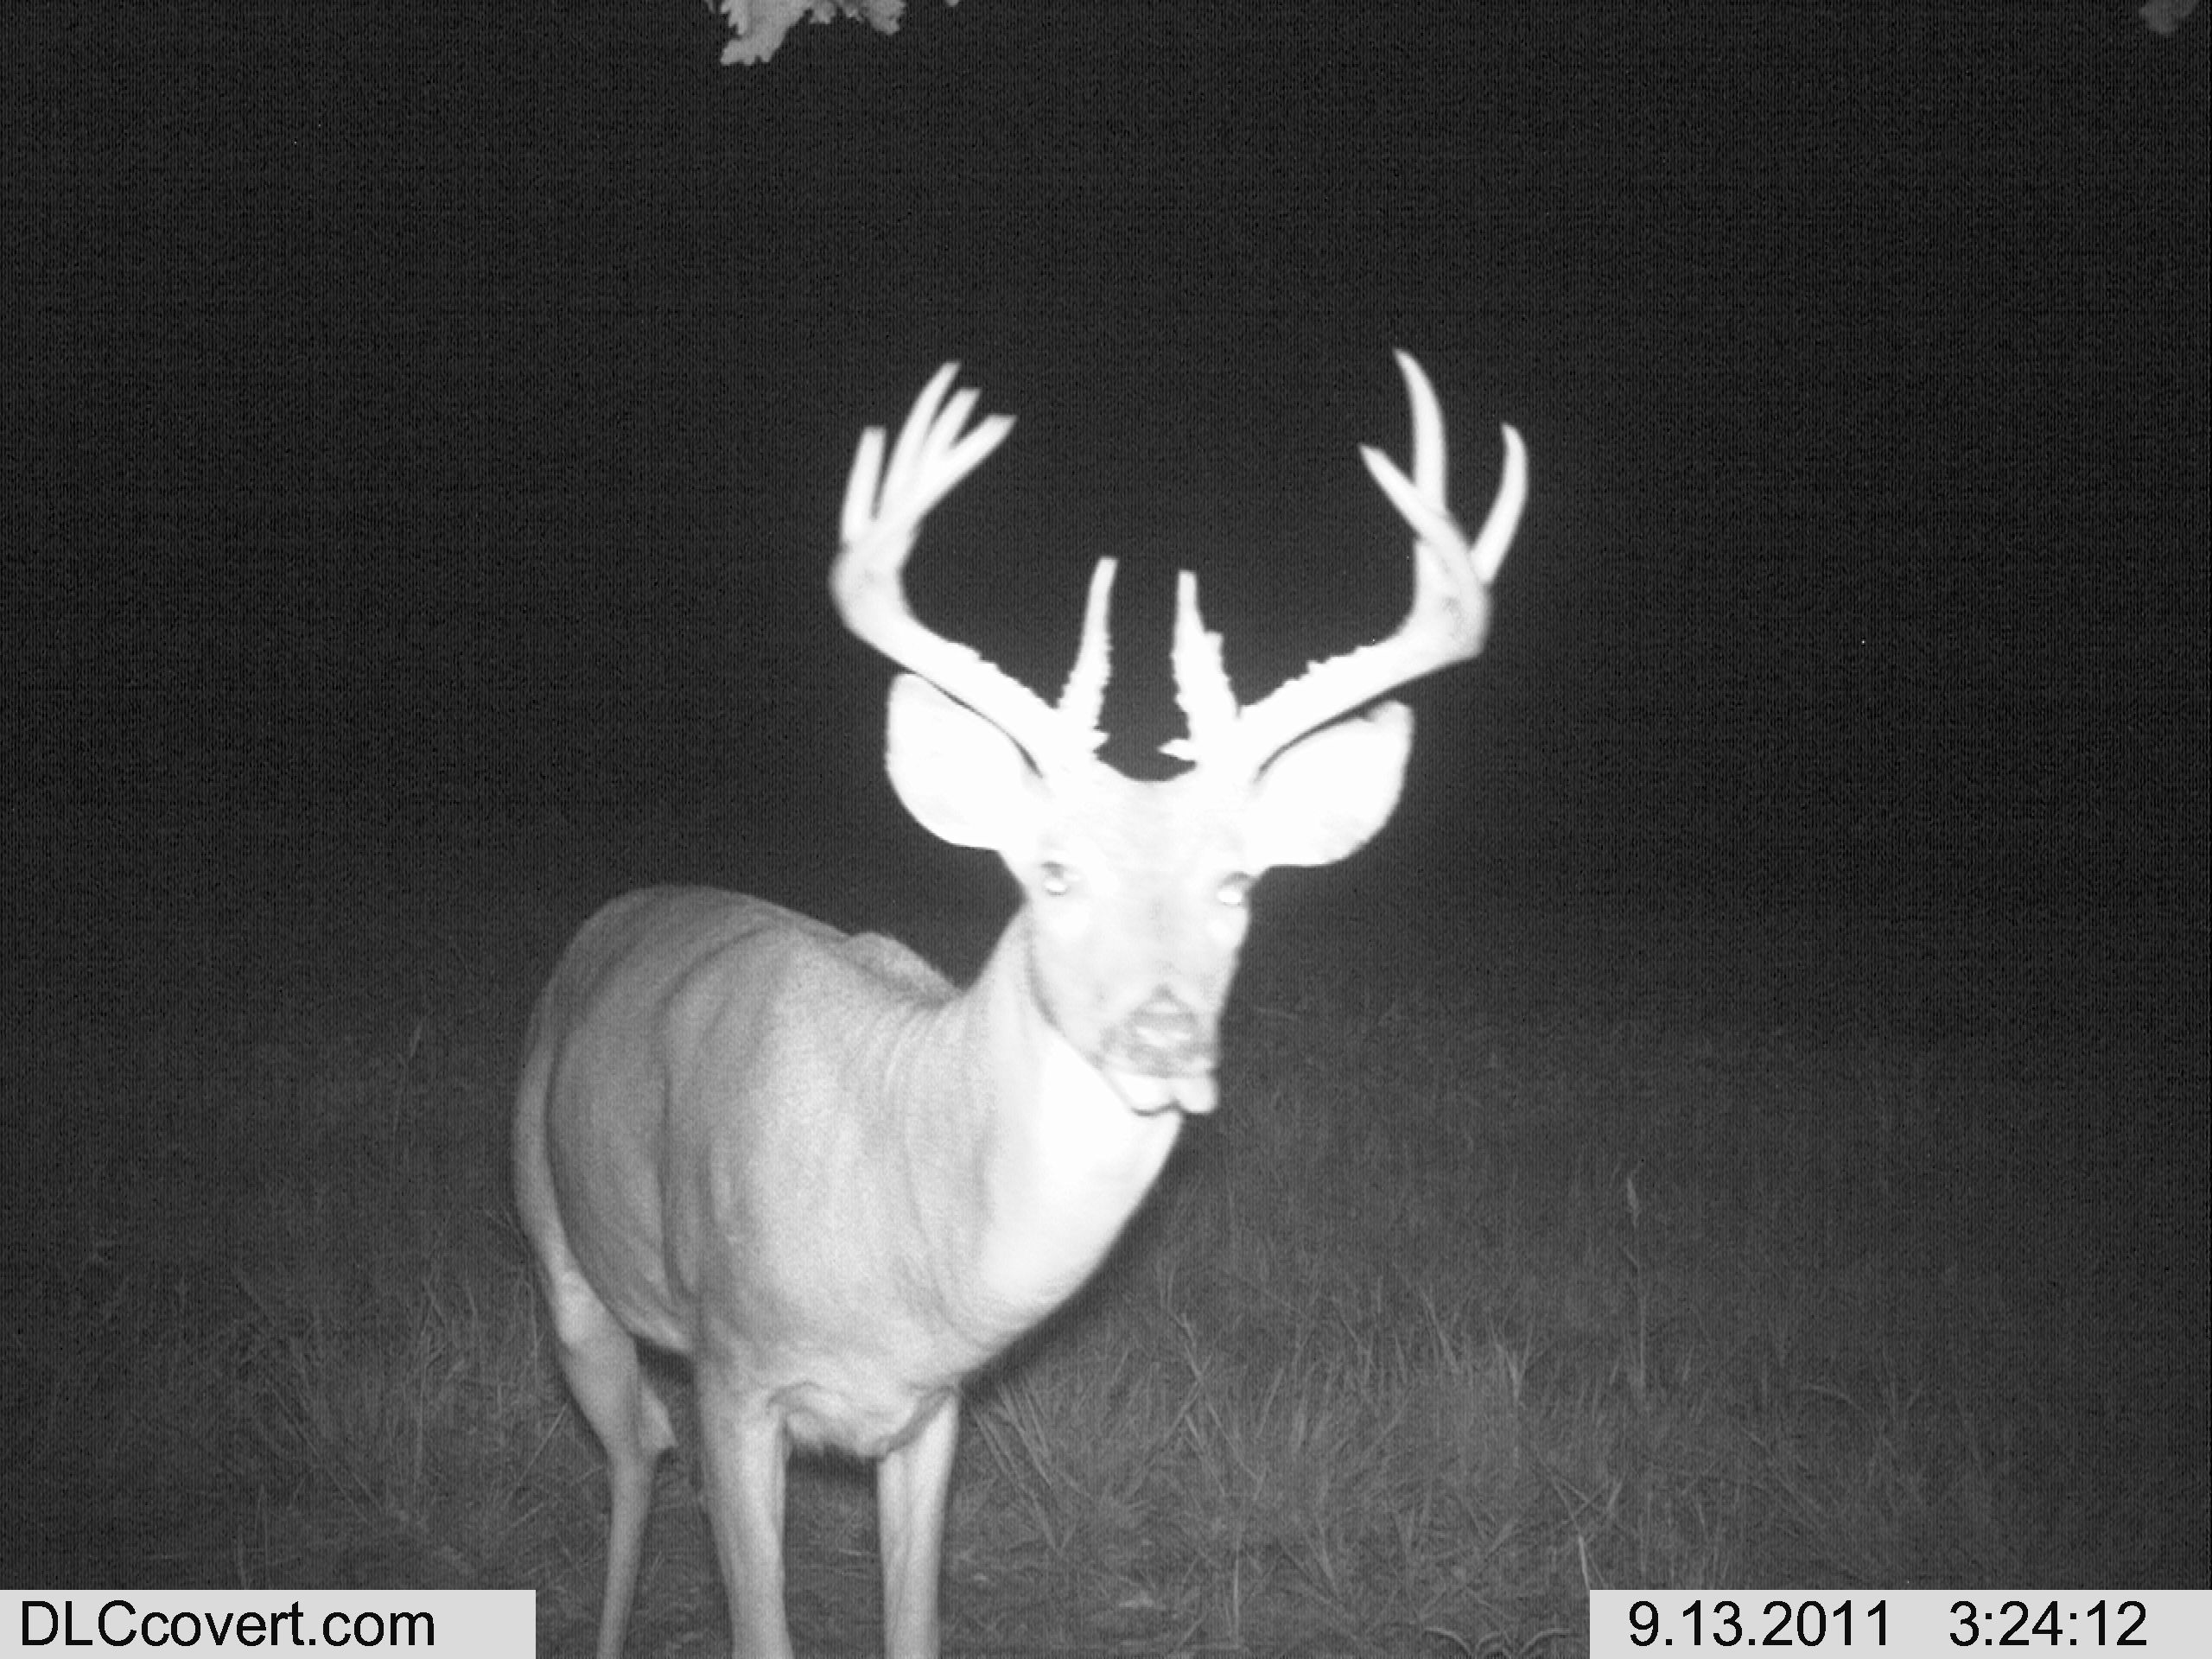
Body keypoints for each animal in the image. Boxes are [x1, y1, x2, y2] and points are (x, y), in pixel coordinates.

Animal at [512, 350, 1527, 1659]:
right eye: (1054, 873)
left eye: (1238, 883)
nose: (1164, 1033)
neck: (903, 1240)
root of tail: (614, 917)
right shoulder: (736, 1375)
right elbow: (759, 1624)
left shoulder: (935, 1409)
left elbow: (914, 1621)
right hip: (560, 1253)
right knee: (636, 1449)